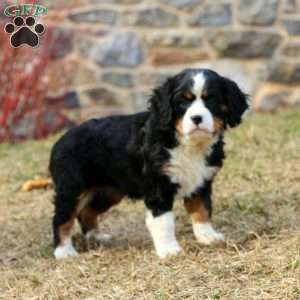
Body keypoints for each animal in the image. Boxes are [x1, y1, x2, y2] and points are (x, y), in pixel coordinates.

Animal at [49, 68, 248, 258]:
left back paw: (96, 237)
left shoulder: (201, 181)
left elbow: (202, 210)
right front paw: (169, 250)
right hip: (72, 189)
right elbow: (164, 221)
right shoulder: (158, 186)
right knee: (62, 218)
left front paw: (207, 236)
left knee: (87, 212)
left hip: (108, 191)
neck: (186, 143)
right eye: (183, 102)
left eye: (211, 100)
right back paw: (64, 251)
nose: (197, 118)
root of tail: (60, 140)